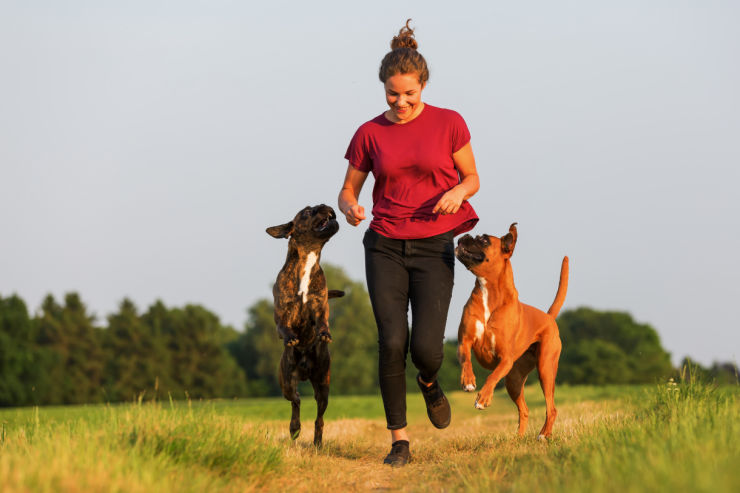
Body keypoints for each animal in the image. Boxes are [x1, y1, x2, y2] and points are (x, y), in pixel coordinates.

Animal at [268, 204, 346, 446]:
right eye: (307, 211)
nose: (325, 206)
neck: (308, 260)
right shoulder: (282, 313)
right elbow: (284, 327)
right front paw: (291, 337)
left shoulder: (319, 306)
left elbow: (322, 322)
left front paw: (324, 333)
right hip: (287, 381)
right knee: (295, 401)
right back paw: (295, 426)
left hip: (323, 386)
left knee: (319, 418)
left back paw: (317, 442)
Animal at [454, 223, 568, 438]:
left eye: (483, 240)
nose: (464, 236)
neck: (488, 291)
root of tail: (549, 317)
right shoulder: (464, 340)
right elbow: (466, 360)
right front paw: (468, 381)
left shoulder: (505, 358)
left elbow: (492, 376)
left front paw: (483, 399)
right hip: (513, 381)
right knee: (524, 410)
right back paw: (519, 439)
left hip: (545, 370)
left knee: (552, 408)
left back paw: (543, 435)